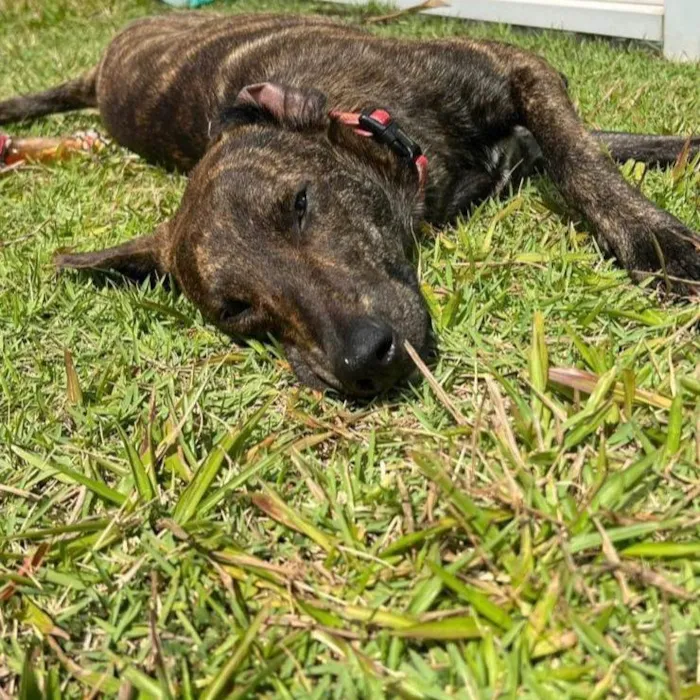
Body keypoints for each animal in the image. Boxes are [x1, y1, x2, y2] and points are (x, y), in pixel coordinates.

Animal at [0, 12, 696, 394]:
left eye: (301, 202)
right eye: (236, 310)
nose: (364, 361)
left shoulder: (522, 70)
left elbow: (588, 157)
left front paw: (660, 242)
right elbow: (593, 151)